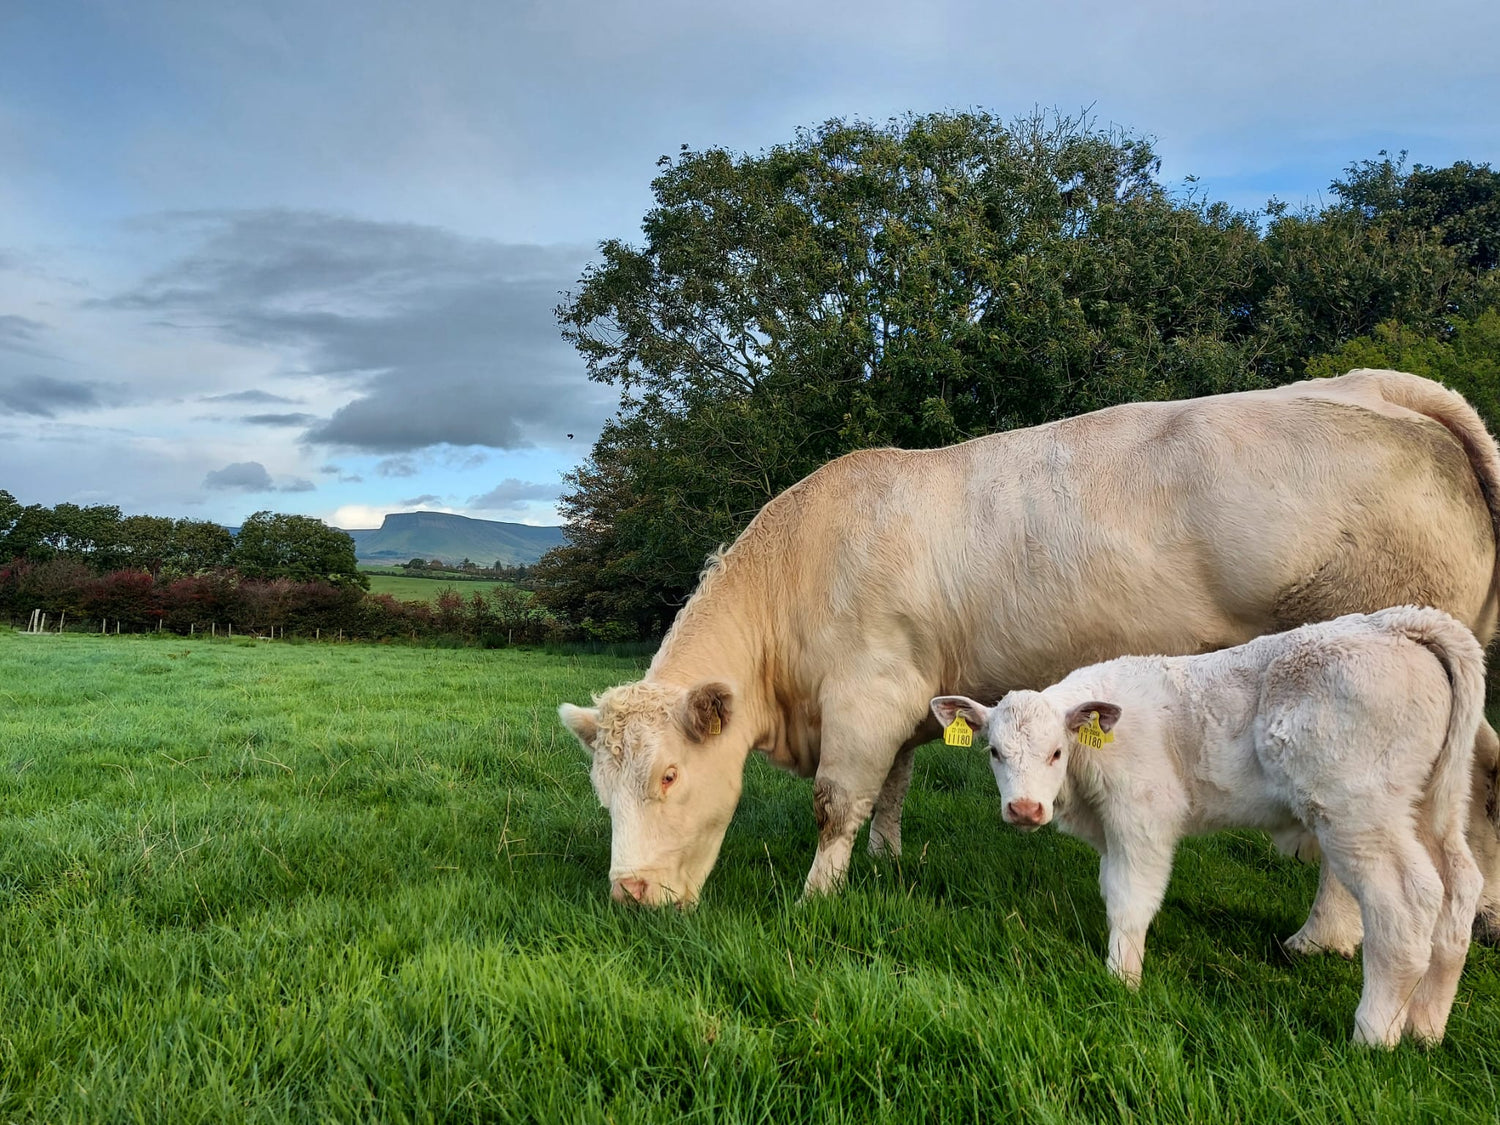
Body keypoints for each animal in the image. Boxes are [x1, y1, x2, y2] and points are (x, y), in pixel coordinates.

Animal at [561, 370, 1500, 936]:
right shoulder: (913, 695)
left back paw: (1322, 936)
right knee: (1483, 778)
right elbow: (894, 788)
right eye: (603, 791)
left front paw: (815, 897)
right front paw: (888, 862)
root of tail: (1383, 392)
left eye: (668, 776)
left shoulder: (866, 692)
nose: (628, 894)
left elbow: (838, 801)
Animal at [930, 603, 1482, 1056]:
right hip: (1430, 808)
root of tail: (1397, 622)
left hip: (1357, 812)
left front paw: (1122, 981)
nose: (1024, 810)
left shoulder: (1144, 816)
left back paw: (1373, 1037)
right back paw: (1425, 1029)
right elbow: (1111, 888)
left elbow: (1131, 897)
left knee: (1407, 902)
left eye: (1056, 752)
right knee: (1459, 888)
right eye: (994, 751)